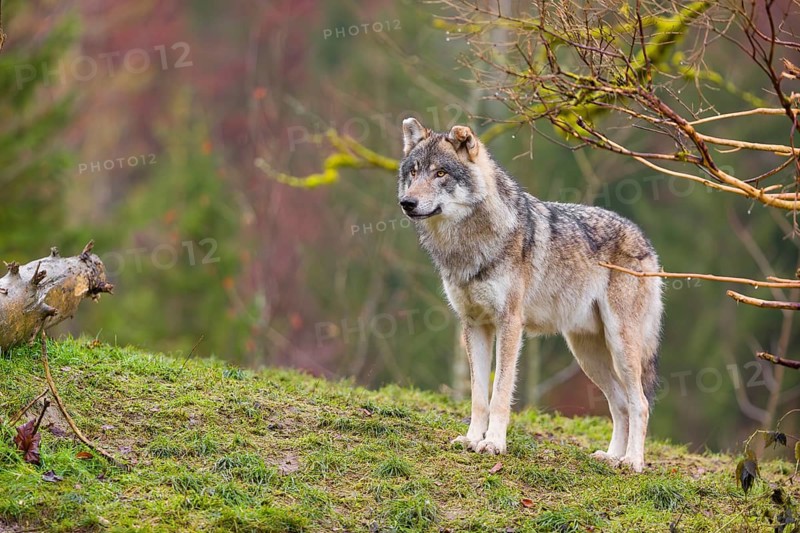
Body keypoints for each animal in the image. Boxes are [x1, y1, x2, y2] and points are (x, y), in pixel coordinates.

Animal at [397, 118, 663, 472]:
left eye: (440, 173)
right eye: (413, 172)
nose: (407, 202)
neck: (468, 245)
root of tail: (644, 240)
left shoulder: (510, 324)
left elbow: (499, 393)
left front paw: (493, 443)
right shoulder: (474, 325)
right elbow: (478, 396)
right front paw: (471, 439)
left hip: (620, 345)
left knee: (640, 403)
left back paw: (632, 462)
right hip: (587, 353)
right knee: (619, 404)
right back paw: (611, 457)